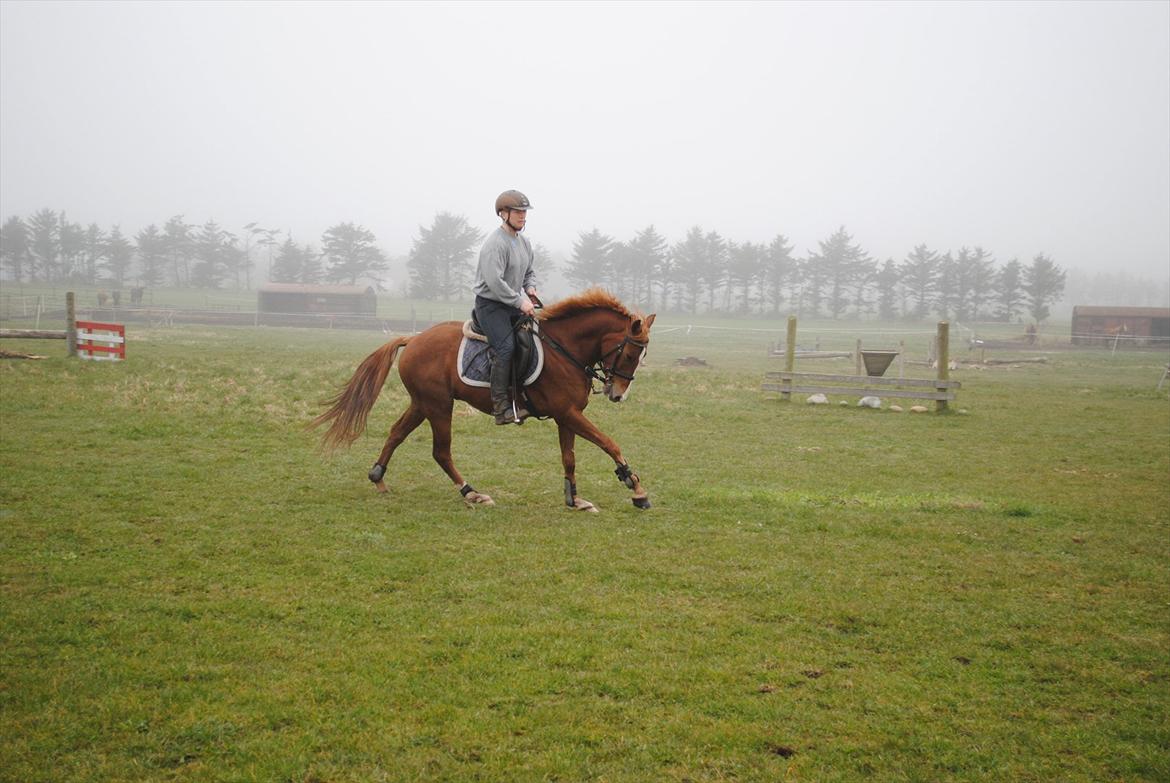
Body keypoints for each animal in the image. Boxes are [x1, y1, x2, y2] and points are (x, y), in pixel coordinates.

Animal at [312, 288, 656, 511]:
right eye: (629, 354)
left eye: (642, 356)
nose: (618, 394)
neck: (564, 348)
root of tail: (414, 339)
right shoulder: (567, 413)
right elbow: (609, 443)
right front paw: (635, 487)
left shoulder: (566, 415)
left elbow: (569, 457)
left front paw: (574, 499)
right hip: (439, 406)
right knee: (441, 452)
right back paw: (472, 493)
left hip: (422, 403)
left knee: (397, 433)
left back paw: (378, 477)